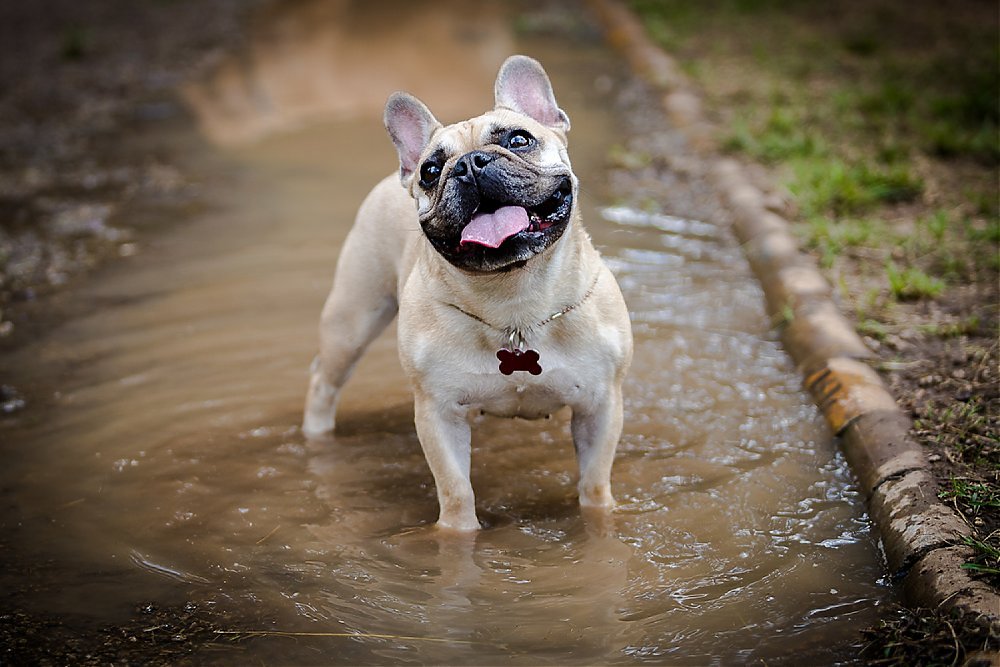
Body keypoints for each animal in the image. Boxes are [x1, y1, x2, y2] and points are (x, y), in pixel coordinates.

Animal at [302, 56, 632, 532]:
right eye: (430, 171)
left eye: (519, 139)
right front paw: (459, 536)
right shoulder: (438, 412)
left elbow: (595, 484)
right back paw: (316, 438)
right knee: (324, 382)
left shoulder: (601, 405)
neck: (515, 301)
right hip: (352, 319)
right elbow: (456, 492)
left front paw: (599, 523)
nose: (470, 164)